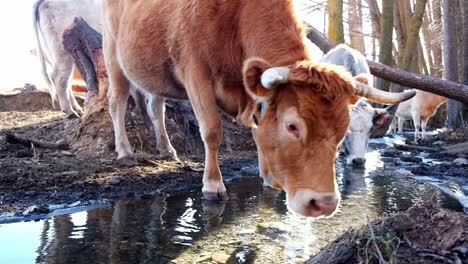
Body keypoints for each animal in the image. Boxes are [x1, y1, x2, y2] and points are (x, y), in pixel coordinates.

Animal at [102, 0, 414, 217]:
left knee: (156, 106)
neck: (236, 19)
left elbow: (258, 132)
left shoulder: (251, 91)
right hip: (113, 56)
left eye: (341, 131)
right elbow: (212, 130)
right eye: (292, 125)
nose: (323, 203)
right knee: (117, 102)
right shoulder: (195, 73)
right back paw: (126, 152)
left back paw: (167, 149)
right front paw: (213, 185)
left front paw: (268, 177)